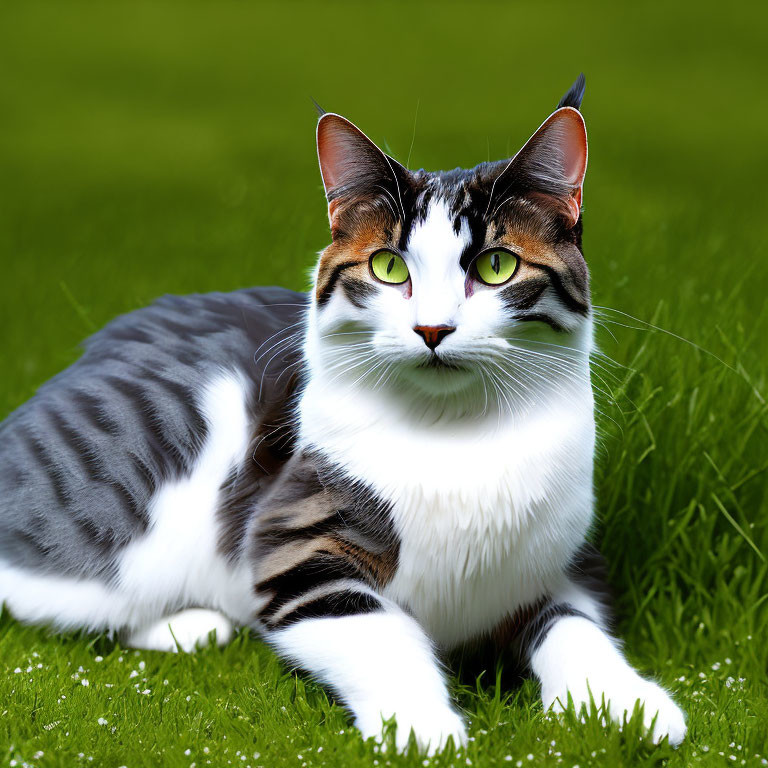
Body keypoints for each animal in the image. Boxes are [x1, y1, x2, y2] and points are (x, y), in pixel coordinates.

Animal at [0, 75, 684, 752]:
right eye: (388, 266)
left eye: (497, 266)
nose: (433, 329)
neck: (455, 435)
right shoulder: (293, 542)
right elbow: (378, 630)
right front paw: (423, 726)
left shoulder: (567, 558)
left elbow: (575, 625)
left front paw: (630, 703)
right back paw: (188, 623)